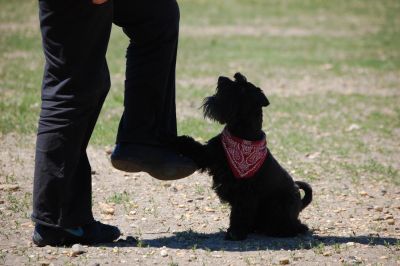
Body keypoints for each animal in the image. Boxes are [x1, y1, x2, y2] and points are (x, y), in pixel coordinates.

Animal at [175, 72, 312, 241]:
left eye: (241, 87)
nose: (221, 78)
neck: (242, 133)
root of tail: (300, 202)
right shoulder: (209, 156)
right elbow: (193, 146)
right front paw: (177, 139)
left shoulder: (245, 191)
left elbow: (240, 212)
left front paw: (235, 232)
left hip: (278, 206)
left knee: (296, 225)